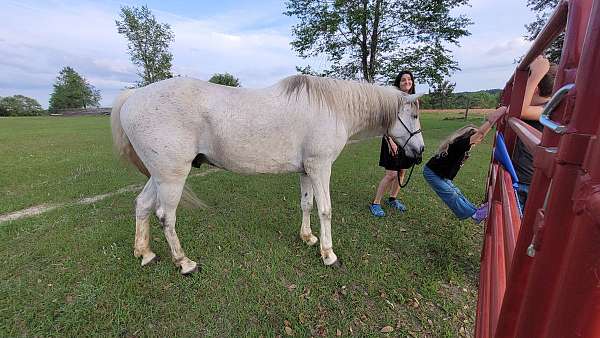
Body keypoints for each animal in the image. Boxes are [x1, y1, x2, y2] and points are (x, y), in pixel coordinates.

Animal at [111, 74, 422, 274]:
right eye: (415, 115)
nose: (419, 151)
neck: (331, 107)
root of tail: (134, 96)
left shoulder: (307, 170)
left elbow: (306, 204)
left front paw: (308, 238)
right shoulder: (321, 168)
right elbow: (325, 210)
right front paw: (328, 254)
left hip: (160, 176)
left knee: (142, 205)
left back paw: (145, 253)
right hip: (172, 176)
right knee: (166, 216)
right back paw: (184, 263)